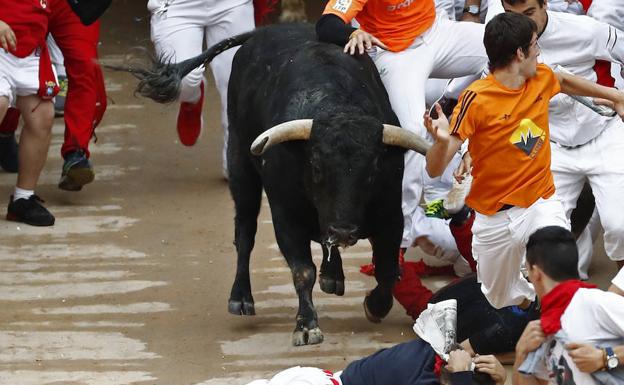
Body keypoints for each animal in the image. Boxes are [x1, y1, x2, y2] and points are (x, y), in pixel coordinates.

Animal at [122, 24, 434, 344]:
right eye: (316, 165)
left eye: (372, 170)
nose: (344, 231)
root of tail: (264, 30)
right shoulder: (286, 216)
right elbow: (302, 270)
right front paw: (307, 325)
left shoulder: (390, 215)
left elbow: (387, 269)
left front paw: (374, 305)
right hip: (240, 167)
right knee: (244, 233)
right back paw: (241, 297)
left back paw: (332, 275)